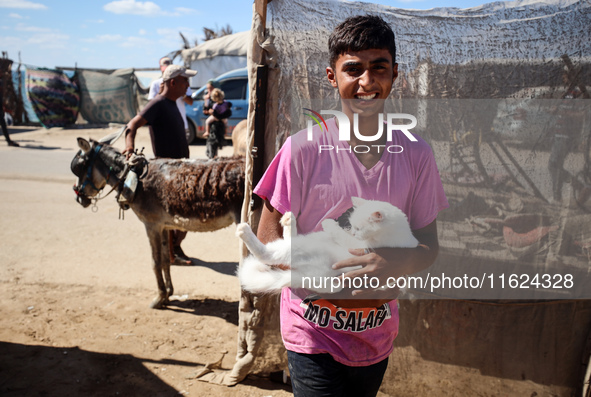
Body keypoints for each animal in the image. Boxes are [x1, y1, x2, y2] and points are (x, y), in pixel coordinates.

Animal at [236, 197, 420, 294]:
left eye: (359, 228)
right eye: (353, 226)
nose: (353, 232)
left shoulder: (358, 245)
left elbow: (340, 233)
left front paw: (329, 223)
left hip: (300, 248)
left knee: (266, 254)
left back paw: (244, 230)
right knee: (289, 238)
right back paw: (289, 220)